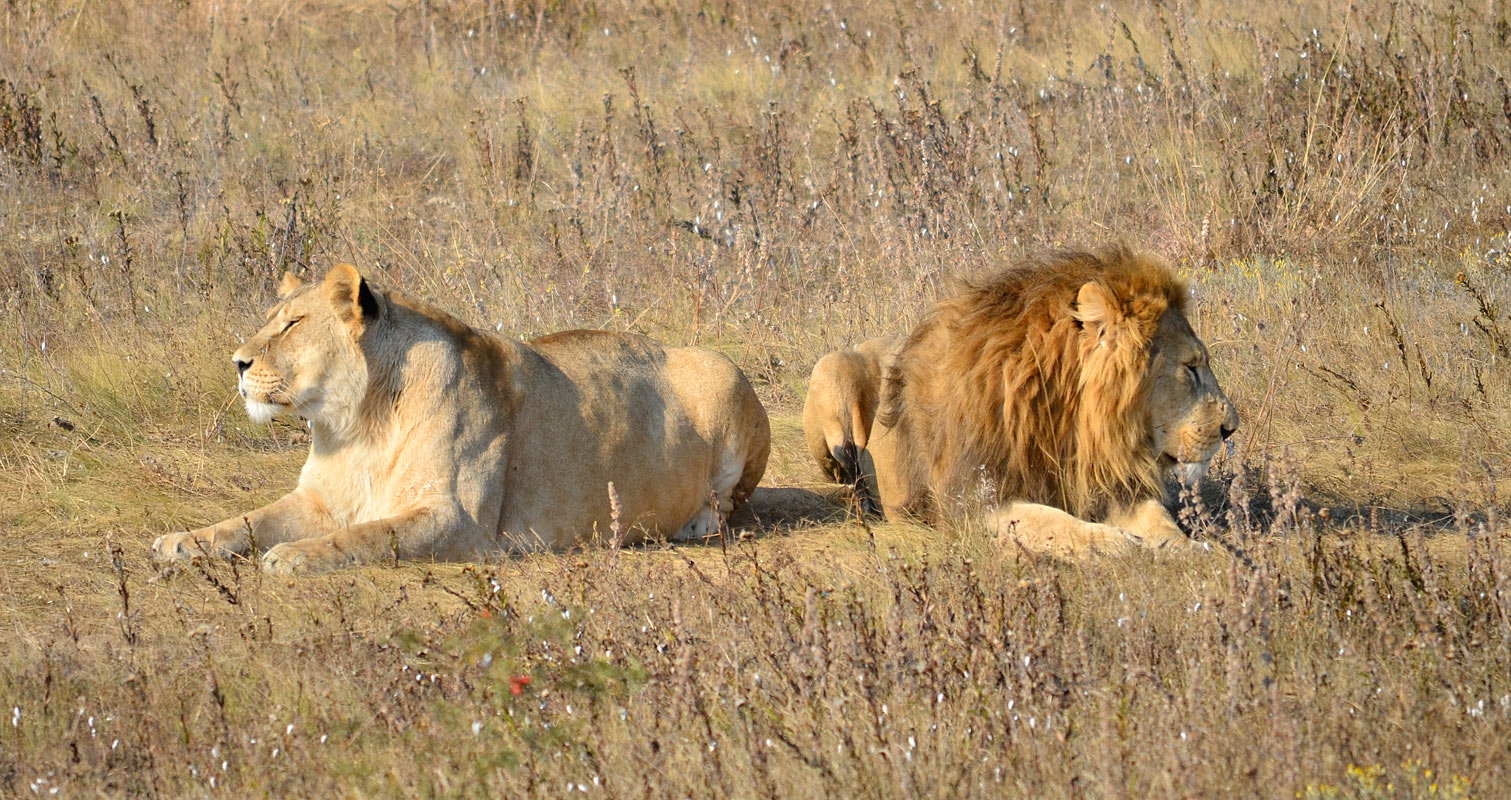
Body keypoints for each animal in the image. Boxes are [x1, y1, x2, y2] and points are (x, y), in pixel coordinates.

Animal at [153, 264, 773, 571]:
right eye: (270, 319)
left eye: (293, 324)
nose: (237, 362)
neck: (355, 426)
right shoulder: (317, 501)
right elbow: (246, 520)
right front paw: (181, 542)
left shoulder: (456, 520)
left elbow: (363, 535)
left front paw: (293, 556)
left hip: (724, 373)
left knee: (726, 506)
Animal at [864, 244, 1239, 556]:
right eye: (1191, 368)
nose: (1230, 429)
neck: (1063, 419)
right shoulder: (970, 502)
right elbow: (1050, 522)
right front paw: (1118, 544)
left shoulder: (1108, 484)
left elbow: (1160, 521)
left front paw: (1203, 551)